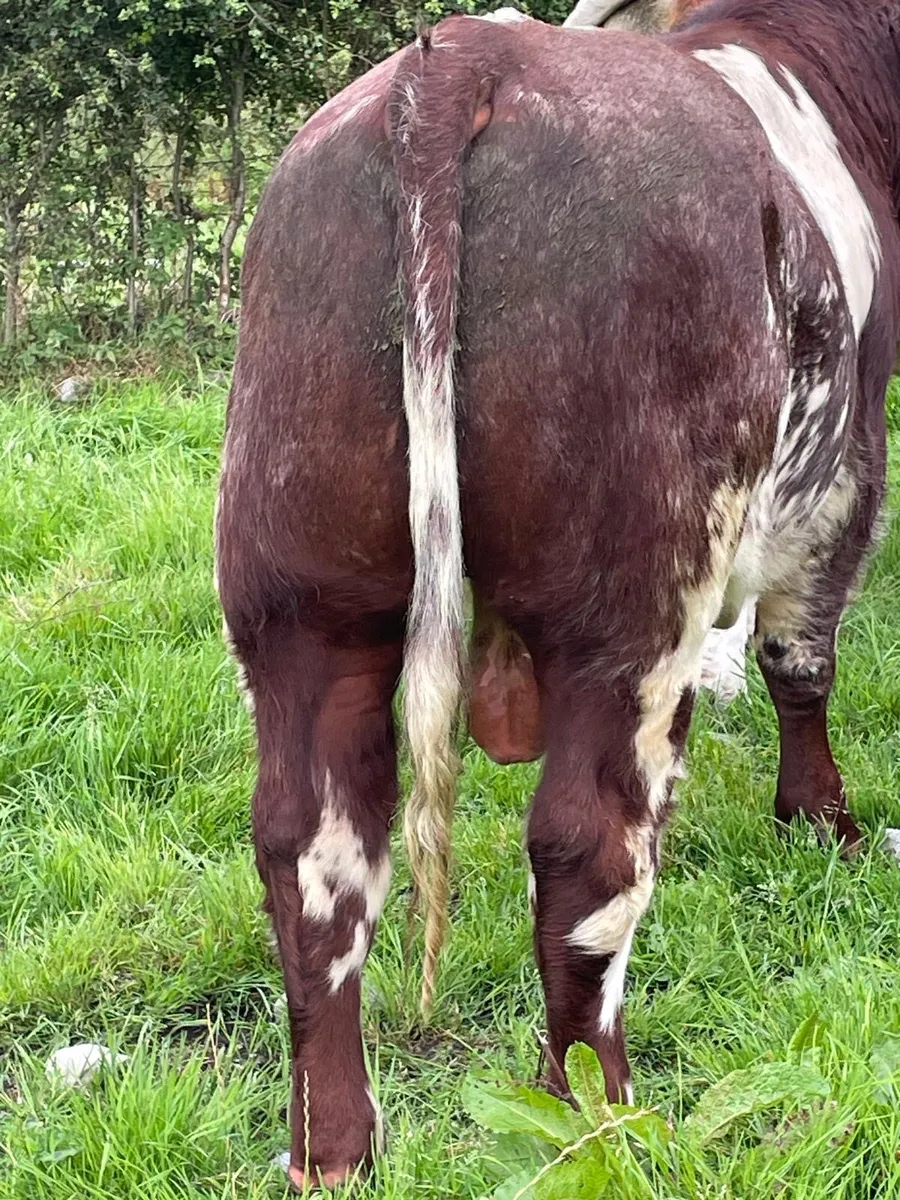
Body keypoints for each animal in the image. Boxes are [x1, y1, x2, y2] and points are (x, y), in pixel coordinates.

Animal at [215, 0, 900, 1188]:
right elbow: (801, 660)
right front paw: (824, 825)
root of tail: (466, 58)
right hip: (635, 601)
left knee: (310, 856)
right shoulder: (848, 478)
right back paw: (598, 1118)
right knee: (588, 850)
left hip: (299, 589)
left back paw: (334, 1151)